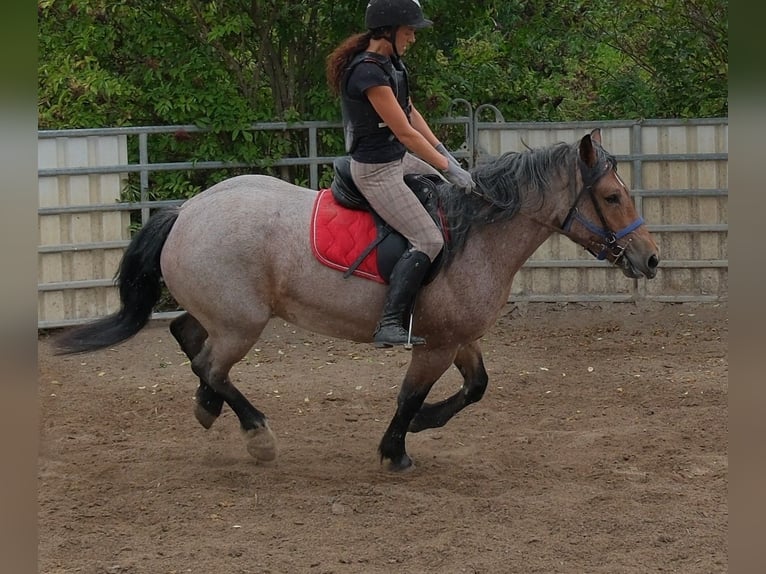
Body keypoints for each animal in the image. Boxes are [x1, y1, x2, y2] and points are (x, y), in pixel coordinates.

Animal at [55, 128, 659, 471]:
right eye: (611, 196)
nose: (651, 259)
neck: (476, 234)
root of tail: (187, 211)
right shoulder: (433, 345)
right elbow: (410, 396)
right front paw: (396, 449)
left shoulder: (458, 337)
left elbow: (477, 387)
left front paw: (423, 427)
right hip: (242, 324)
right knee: (210, 364)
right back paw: (254, 433)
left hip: (226, 315)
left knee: (190, 341)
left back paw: (217, 411)